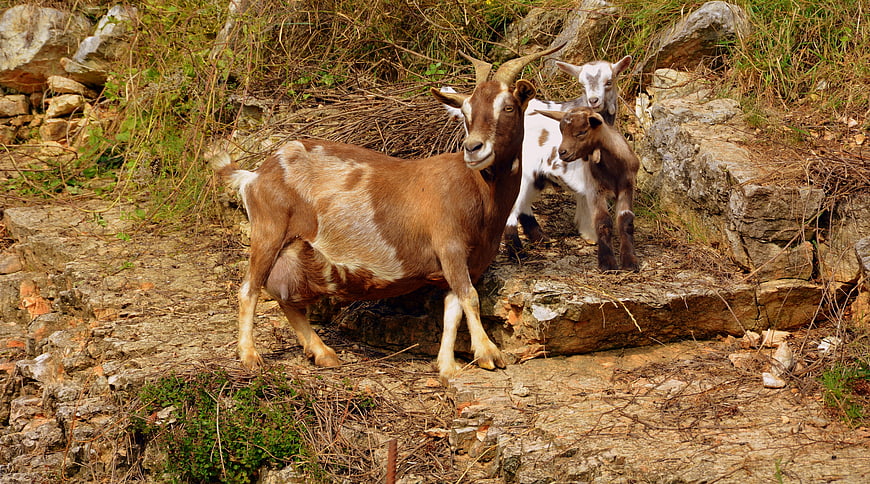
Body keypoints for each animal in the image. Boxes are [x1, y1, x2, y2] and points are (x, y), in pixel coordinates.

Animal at [212, 45, 563, 381]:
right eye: (465, 111)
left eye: (508, 107)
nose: (473, 148)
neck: (476, 189)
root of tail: (255, 175)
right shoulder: (449, 247)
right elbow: (470, 299)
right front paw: (488, 354)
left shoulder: (469, 263)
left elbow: (453, 308)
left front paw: (447, 367)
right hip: (268, 232)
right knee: (249, 290)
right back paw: (250, 356)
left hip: (296, 249)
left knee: (288, 300)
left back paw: (323, 354)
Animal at [441, 55, 632, 257]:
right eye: (581, 84)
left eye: (609, 81)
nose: (593, 100)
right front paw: (592, 235)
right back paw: (517, 250)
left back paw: (539, 237)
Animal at [536, 107, 640, 272]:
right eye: (561, 131)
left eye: (582, 132)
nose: (562, 152)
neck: (614, 170)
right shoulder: (595, 190)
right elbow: (603, 221)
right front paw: (607, 262)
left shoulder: (627, 187)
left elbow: (625, 220)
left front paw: (630, 261)